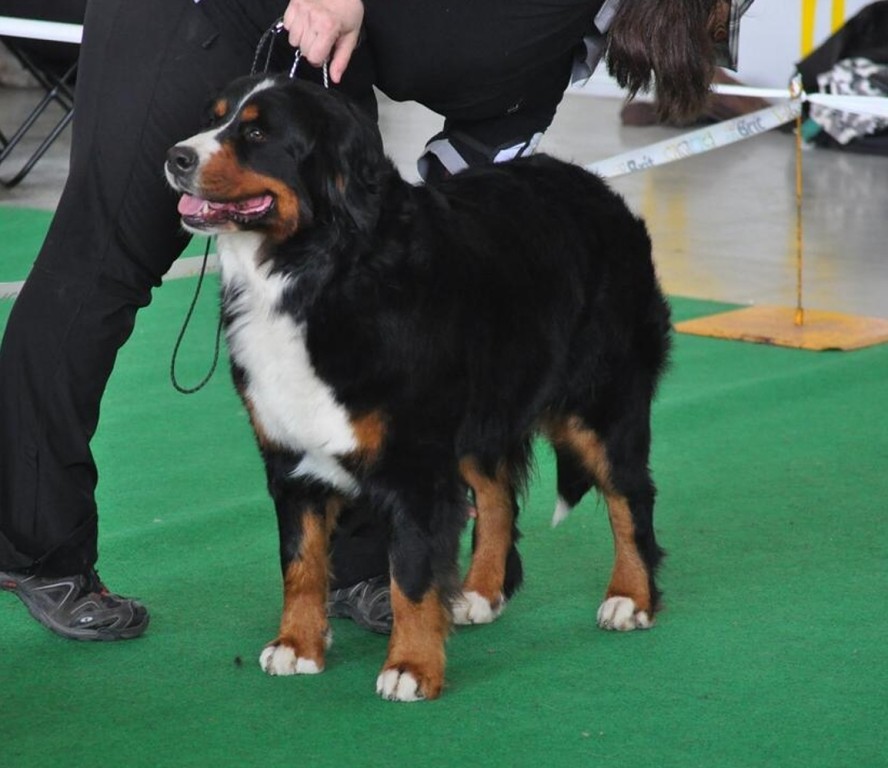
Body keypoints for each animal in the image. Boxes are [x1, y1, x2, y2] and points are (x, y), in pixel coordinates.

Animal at [163, 73, 668, 704]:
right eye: (215, 118)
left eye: (257, 134)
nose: (175, 157)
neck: (315, 271)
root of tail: (598, 190)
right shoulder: (291, 454)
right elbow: (300, 562)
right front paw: (298, 646)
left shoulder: (415, 464)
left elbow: (411, 573)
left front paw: (411, 667)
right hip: (482, 416)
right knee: (498, 496)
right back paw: (480, 594)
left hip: (600, 402)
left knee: (630, 495)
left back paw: (630, 597)